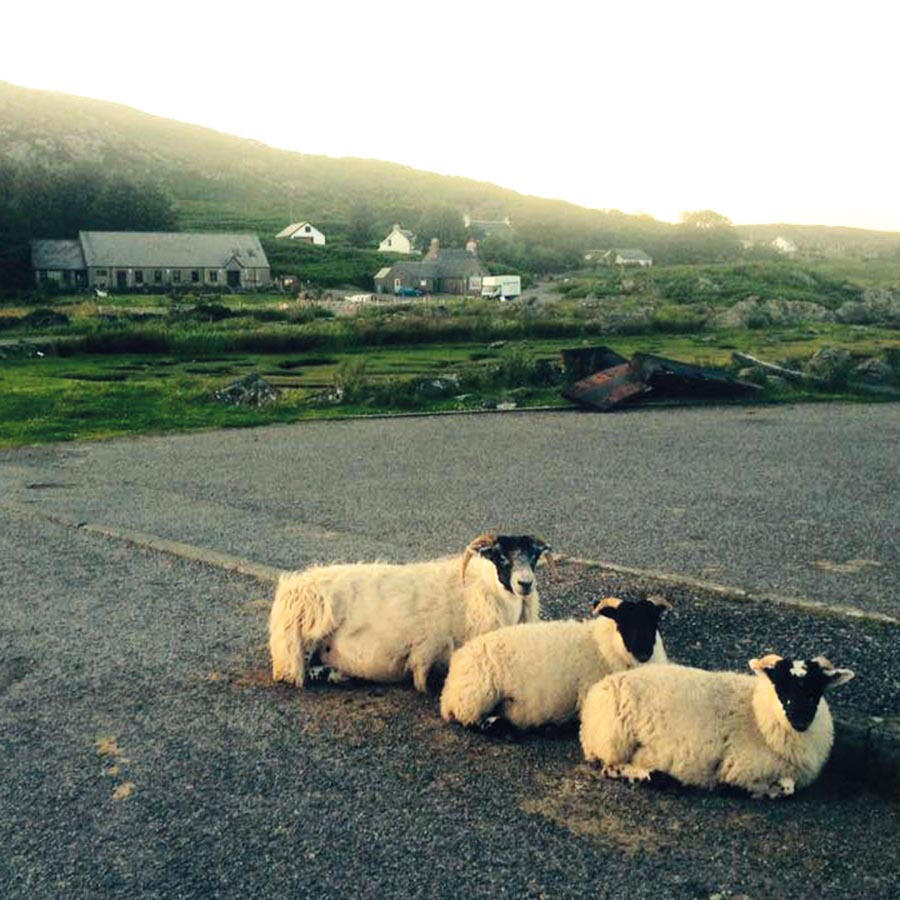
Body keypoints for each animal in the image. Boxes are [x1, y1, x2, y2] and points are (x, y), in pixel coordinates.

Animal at [268, 533, 555, 692]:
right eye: (502, 557)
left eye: (534, 557)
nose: (525, 584)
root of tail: (295, 586)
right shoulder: (431, 649)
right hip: (301, 640)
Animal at [440, 595, 670, 731]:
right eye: (621, 622)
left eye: (654, 622)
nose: (643, 652)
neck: (603, 646)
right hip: (476, 698)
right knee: (471, 721)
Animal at [579, 653, 855, 798]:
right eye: (780, 686)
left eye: (815, 690)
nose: (800, 719)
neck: (757, 713)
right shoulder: (740, 768)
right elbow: (786, 788)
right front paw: (762, 790)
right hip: (615, 740)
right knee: (609, 767)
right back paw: (651, 777)